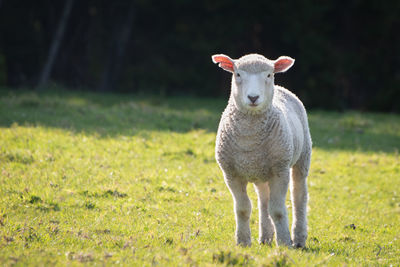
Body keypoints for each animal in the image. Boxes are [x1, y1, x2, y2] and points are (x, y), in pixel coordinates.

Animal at [211, 53, 310, 248]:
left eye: (269, 75)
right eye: (238, 74)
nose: (253, 97)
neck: (250, 140)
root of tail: (281, 88)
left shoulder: (280, 170)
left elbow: (278, 210)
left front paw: (284, 242)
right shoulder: (231, 174)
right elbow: (242, 209)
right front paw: (242, 242)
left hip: (302, 157)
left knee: (299, 196)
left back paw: (298, 238)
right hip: (261, 172)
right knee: (264, 200)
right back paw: (265, 237)